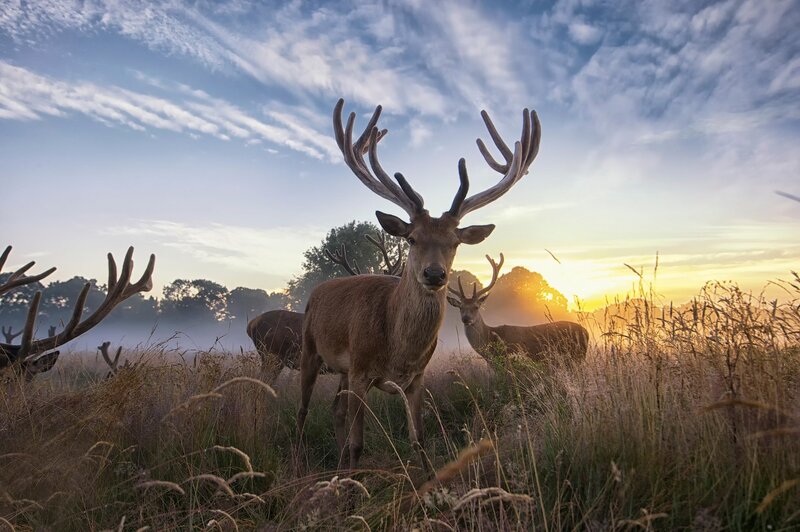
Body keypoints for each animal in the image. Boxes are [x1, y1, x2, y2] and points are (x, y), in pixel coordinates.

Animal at [297, 98, 542, 470]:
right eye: (411, 238)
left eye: (455, 242)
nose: (435, 274)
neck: (398, 349)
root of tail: (318, 291)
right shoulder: (361, 370)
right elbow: (358, 444)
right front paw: (352, 480)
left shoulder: (416, 379)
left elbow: (420, 441)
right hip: (310, 349)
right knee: (303, 411)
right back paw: (304, 461)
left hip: (341, 370)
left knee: (335, 409)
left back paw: (337, 465)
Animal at [447, 254, 589, 363]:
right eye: (460, 307)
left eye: (476, 307)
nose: (466, 319)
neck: (490, 338)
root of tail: (586, 332)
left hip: (576, 356)